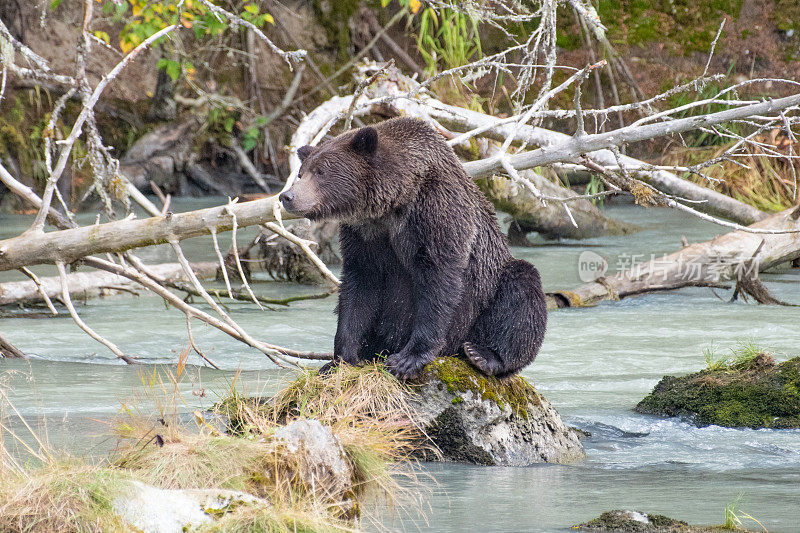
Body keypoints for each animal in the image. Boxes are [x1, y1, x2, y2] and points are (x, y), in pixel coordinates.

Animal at [278, 116, 548, 378]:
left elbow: (439, 281)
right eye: (302, 173)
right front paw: (340, 359)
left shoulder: (436, 213)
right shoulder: (364, 235)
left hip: (488, 292)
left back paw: (484, 355)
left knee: (522, 291)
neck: (395, 202)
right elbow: (359, 286)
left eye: (321, 171)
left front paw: (408, 359)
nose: (287, 196)